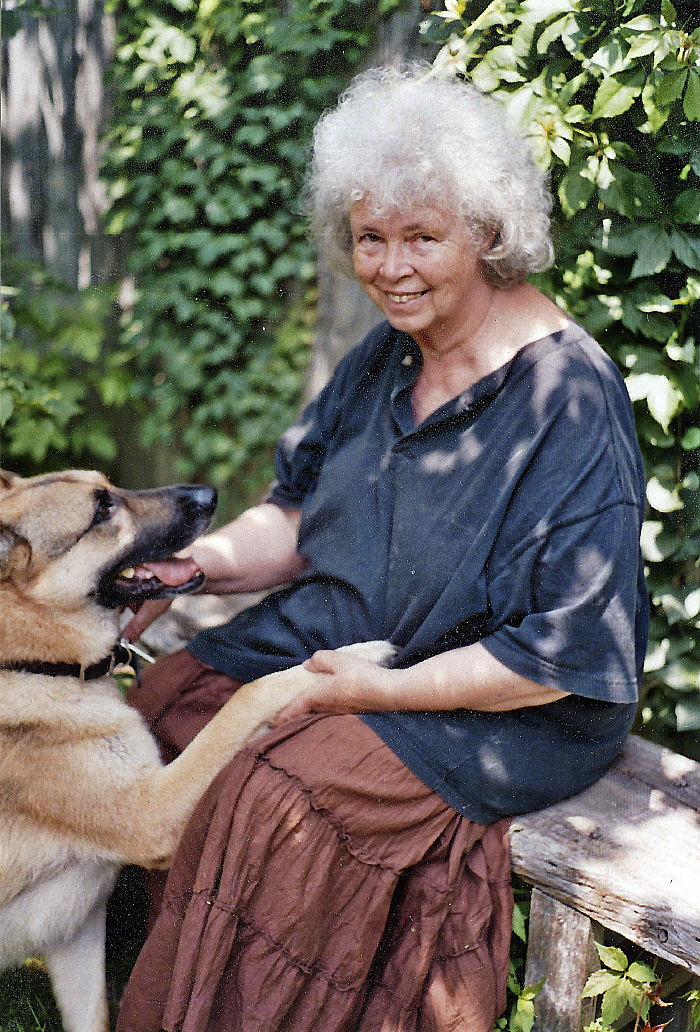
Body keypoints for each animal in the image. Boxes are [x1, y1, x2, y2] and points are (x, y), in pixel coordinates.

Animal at [0, 470, 394, 1032]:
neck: (36, 664)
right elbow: (247, 696)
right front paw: (352, 657)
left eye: (110, 486)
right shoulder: (154, 813)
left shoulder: (73, 933)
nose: (209, 495)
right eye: (101, 510)